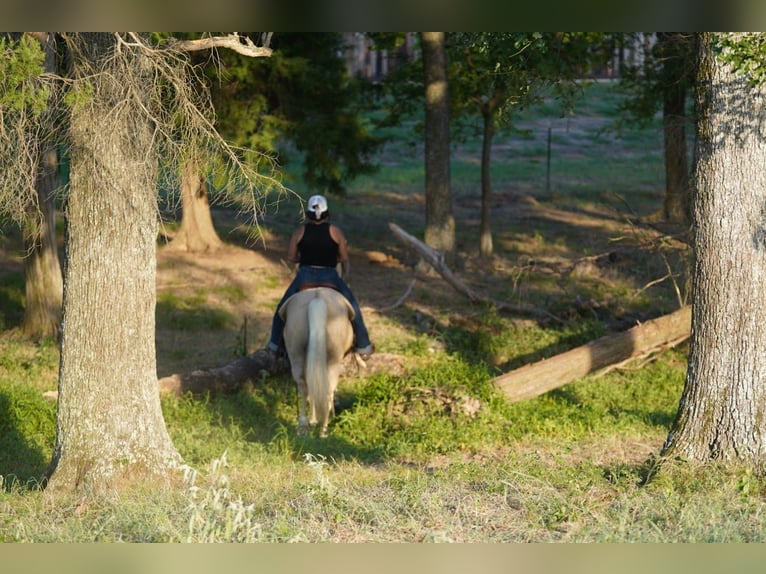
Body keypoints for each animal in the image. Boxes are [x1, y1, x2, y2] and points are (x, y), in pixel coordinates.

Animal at [280, 287, 355, 437]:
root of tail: (317, 297)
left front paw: (312, 420)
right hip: (333, 361)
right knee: (328, 391)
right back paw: (324, 430)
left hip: (296, 354)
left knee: (304, 387)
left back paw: (303, 425)